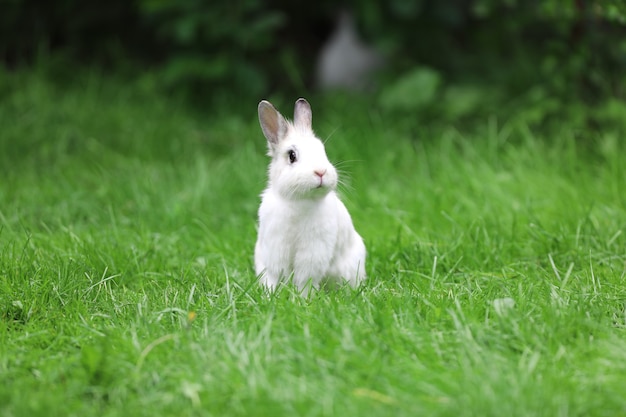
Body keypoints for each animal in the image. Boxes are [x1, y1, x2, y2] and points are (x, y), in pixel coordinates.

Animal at [254, 97, 366, 292]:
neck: (299, 201)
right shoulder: (275, 248)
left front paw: (302, 297)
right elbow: (276, 275)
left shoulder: (313, 252)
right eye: (292, 155)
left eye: (323, 150)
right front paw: (272, 294)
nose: (320, 172)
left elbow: (304, 278)